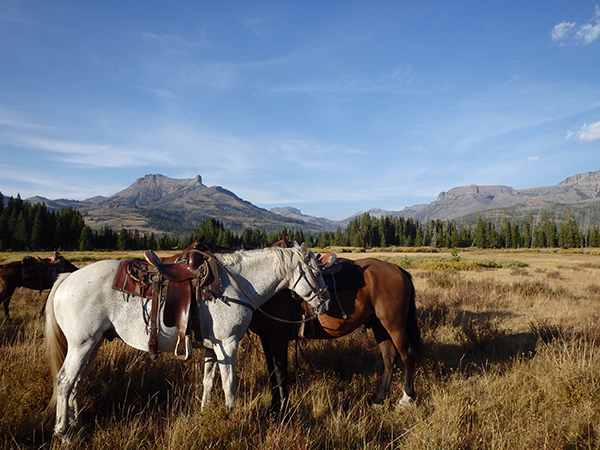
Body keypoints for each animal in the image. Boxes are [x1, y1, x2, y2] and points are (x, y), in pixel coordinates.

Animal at [44, 244, 330, 442]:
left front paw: (206, 414)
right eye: (316, 272)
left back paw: (79, 427)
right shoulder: (228, 344)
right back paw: (64, 434)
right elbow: (229, 384)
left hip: (92, 344)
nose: (325, 302)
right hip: (81, 344)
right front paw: (232, 417)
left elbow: (208, 381)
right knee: (65, 381)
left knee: (76, 383)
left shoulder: (212, 346)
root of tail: (65, 279)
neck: (236, 286)